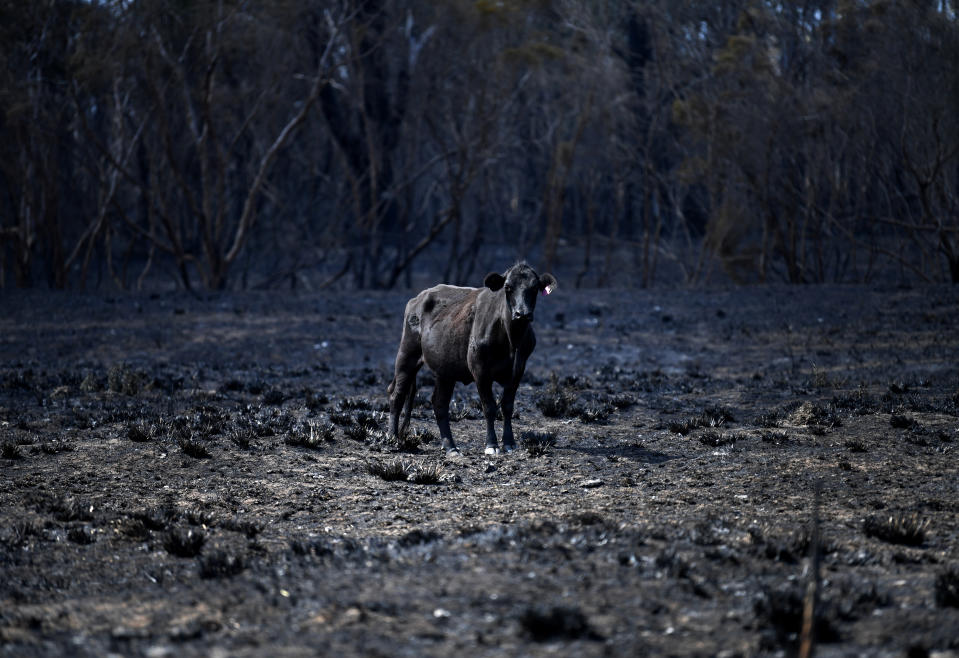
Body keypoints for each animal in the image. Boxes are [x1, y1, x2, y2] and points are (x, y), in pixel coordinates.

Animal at [386, 260, 560, 452]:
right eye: (507, 287)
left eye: (535, 288)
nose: (522, 314)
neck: (511, 340)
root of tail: (417, 298)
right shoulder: (479, 368)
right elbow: (489, 407)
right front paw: (491, 444)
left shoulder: (518, 370)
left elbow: (507, 406)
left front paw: (509, 442)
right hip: (407, 354)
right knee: (397, 395)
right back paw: (393, 437)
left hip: (445, 369)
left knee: (439, 403)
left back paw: (450, 447)